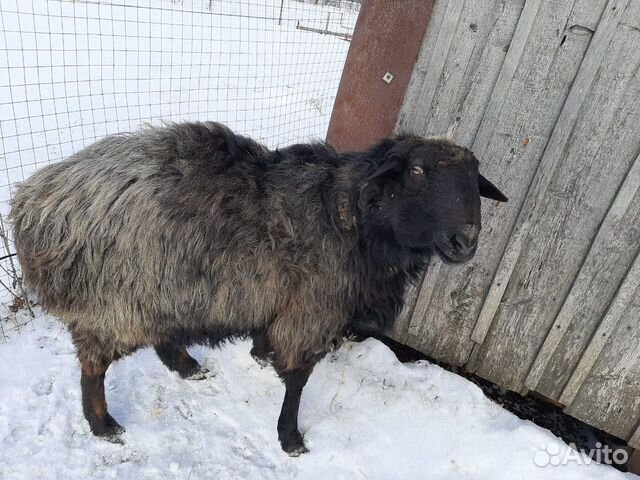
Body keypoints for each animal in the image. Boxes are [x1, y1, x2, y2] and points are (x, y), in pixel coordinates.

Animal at [10, 122, 508, 456]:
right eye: (417, 171)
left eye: (475, 180)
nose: (465, 241)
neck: (352, 216)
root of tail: (36, 199)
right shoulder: (312, 311)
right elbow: (299, 381)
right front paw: (290, 437)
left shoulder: (286, 305)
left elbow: (272, 349)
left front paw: (262, 357)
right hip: (118, 297)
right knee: (93, 364)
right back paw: (104, 424)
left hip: (161, 286)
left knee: (159, 334)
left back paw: (188, 367)